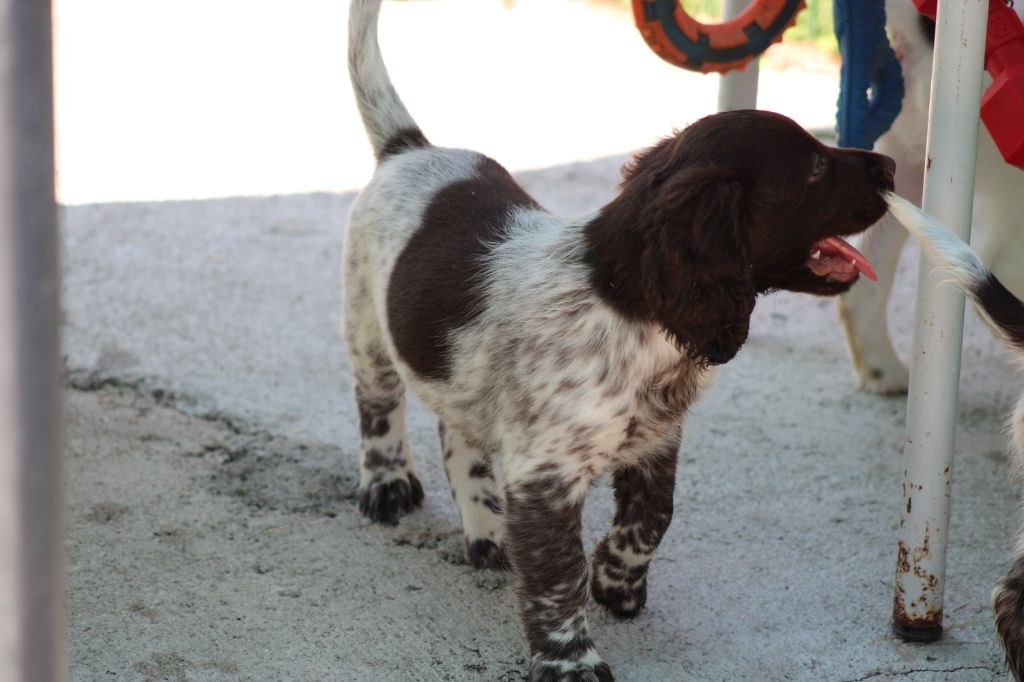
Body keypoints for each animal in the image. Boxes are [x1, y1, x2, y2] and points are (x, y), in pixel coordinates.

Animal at [346, 2, 897, 675]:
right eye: (815, 166)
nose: (893, 167)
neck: (629, 306)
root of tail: (410, 148)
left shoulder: (656, 437)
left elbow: (653, 516)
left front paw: (616, 579)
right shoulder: (545, 475)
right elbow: (557, 574)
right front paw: (571, 660)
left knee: (459, 433)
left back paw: (488, 528)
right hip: (367, 325)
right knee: (380, 407)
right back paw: (388, 484)